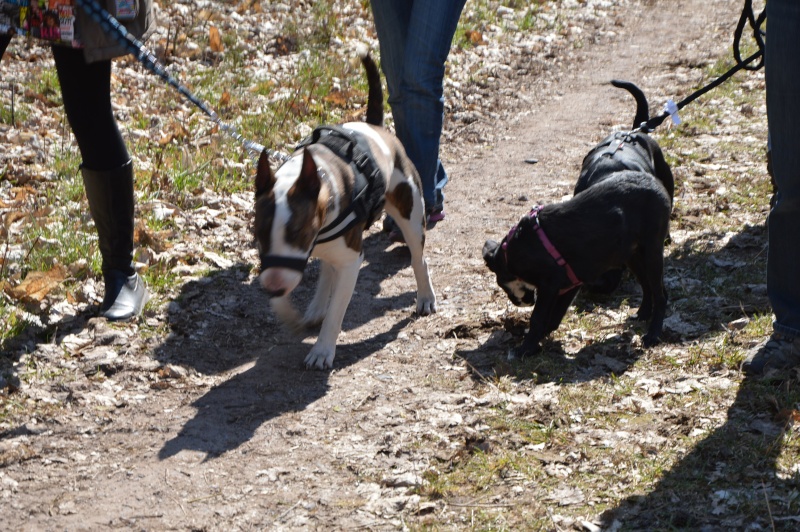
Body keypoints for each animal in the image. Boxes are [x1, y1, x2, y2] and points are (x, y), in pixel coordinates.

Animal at [253, 50, 434, 370]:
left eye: (298, 233)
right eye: (258, 234)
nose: (273, 287)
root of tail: (375, 127)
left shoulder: (351, 261)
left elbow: (337, 311)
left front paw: (322, 350)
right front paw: (289, 312)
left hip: (410, 212)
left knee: (418, 257)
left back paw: (425, 295)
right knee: (327, 267)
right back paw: (315, 308)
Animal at [484, 175, 672, 358]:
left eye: (502, 286)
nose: (518, 303)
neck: (510, 255)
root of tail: (657, 184)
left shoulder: (549, 286)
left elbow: (538, 318)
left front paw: (526, 349)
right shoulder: (570, 284)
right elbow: (554, 317)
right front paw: (538, 339)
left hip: (652, 252)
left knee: (660, 295)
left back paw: (653, 334)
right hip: (632, 256)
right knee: (648, 287)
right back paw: (642, 314)